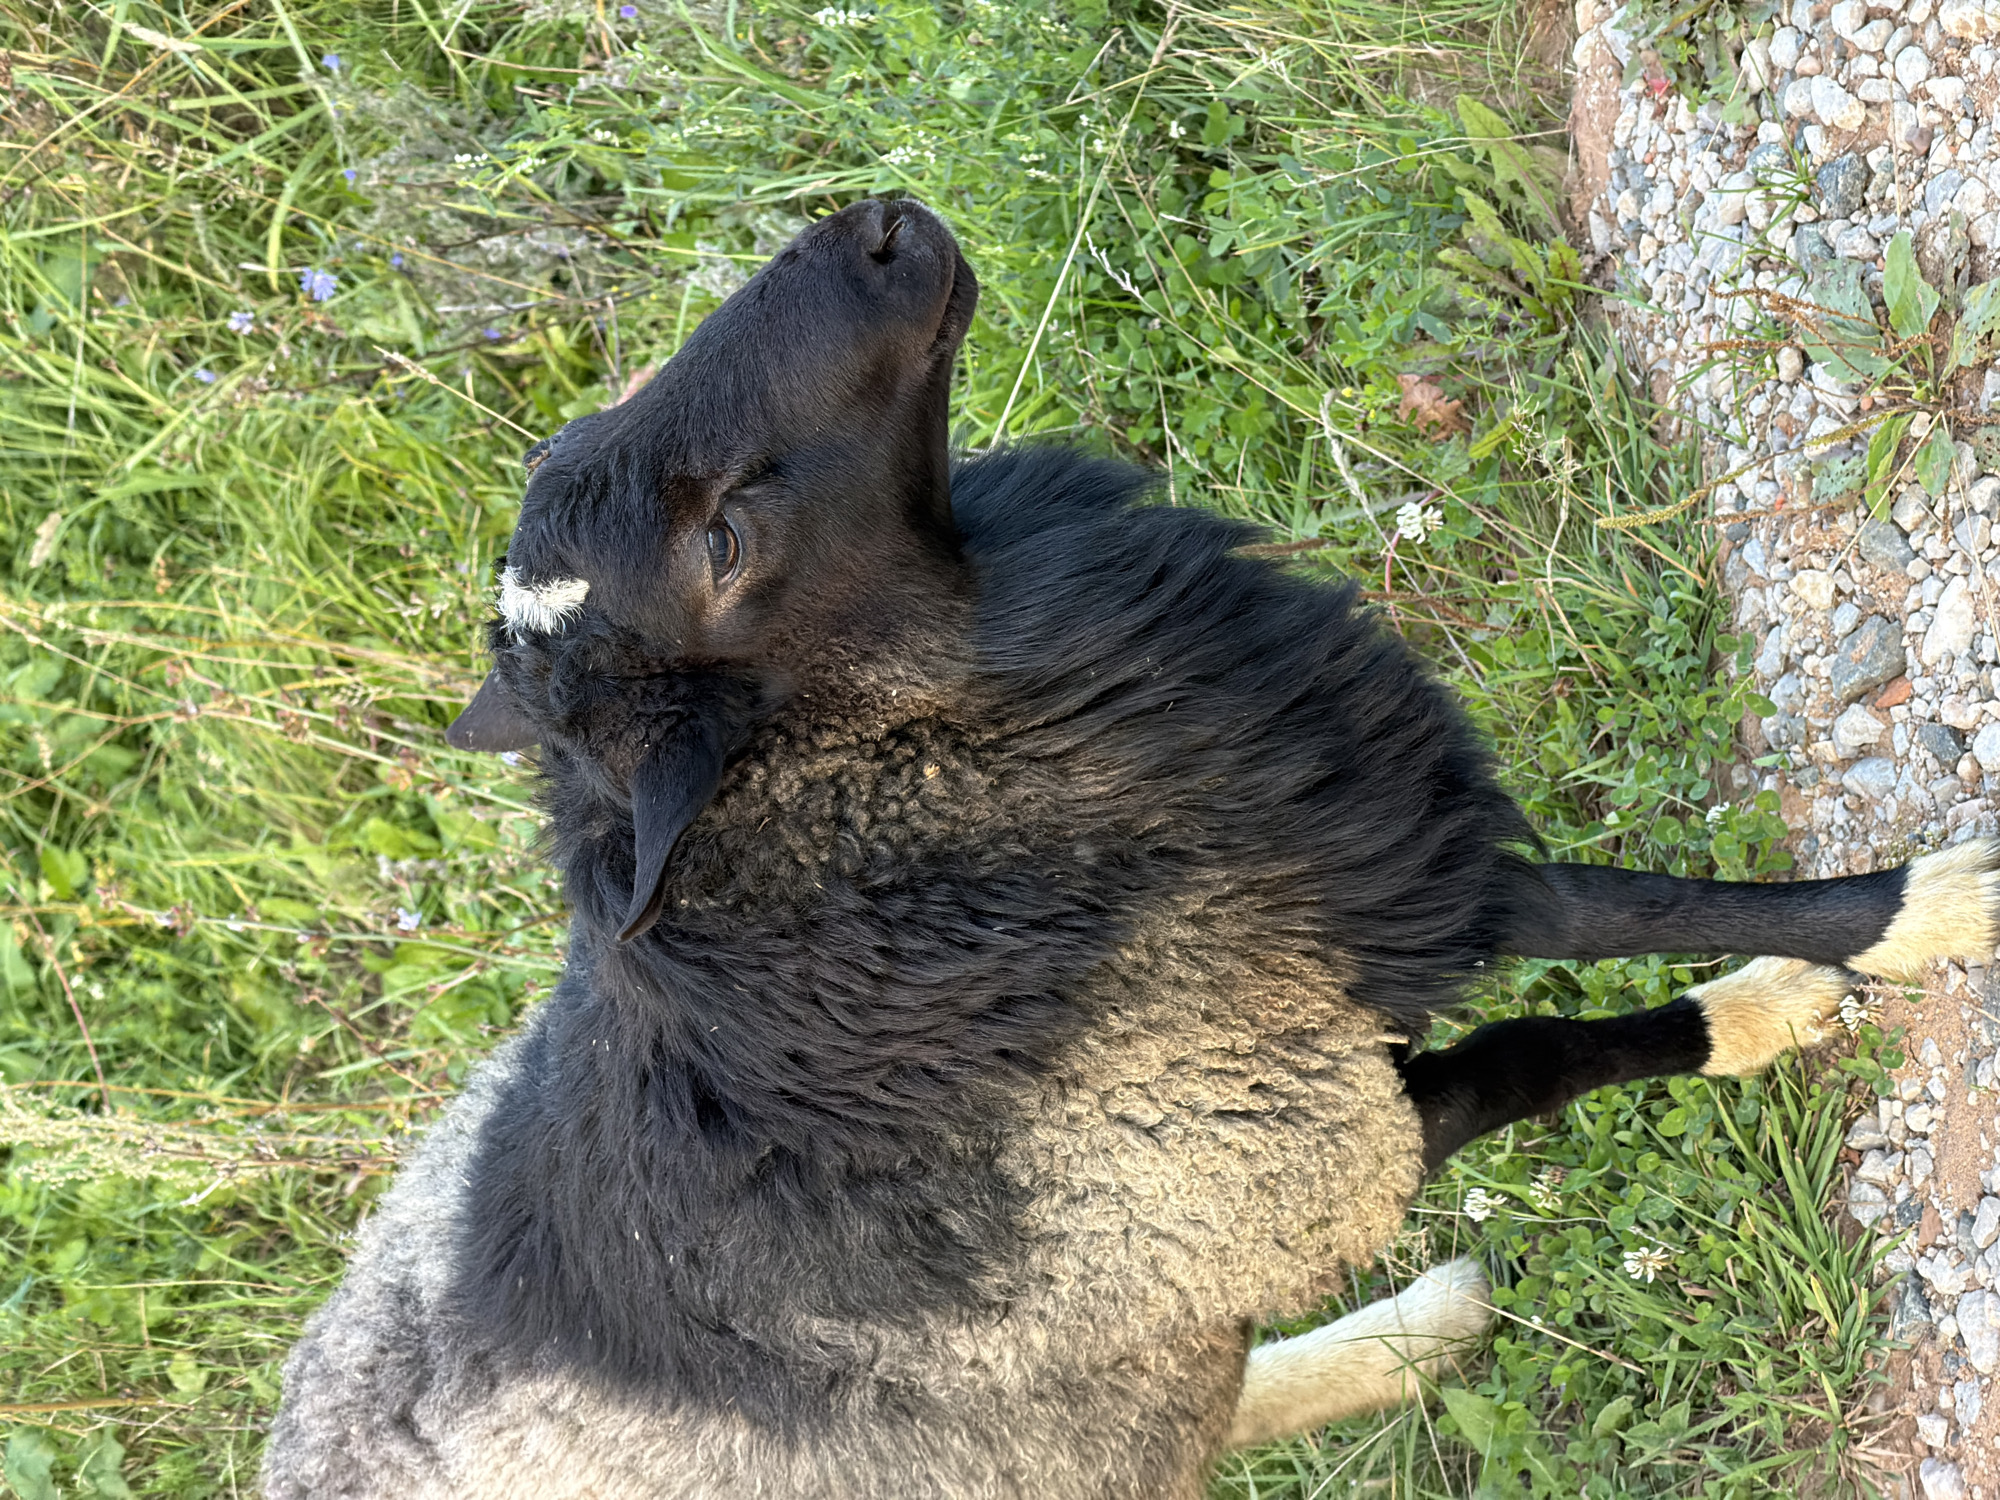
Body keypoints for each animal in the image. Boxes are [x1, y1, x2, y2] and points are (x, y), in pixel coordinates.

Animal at [263, 198, 2000, 1499]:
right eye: (726, 544)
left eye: (589, 422)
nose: (879, 228)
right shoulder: (1275, 1155)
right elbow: (1552, 1043)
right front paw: (1870, 957)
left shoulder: (1350, 862)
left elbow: (1612, 910)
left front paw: (1850, 948)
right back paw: (1407, 1335)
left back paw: (1424, 1330)